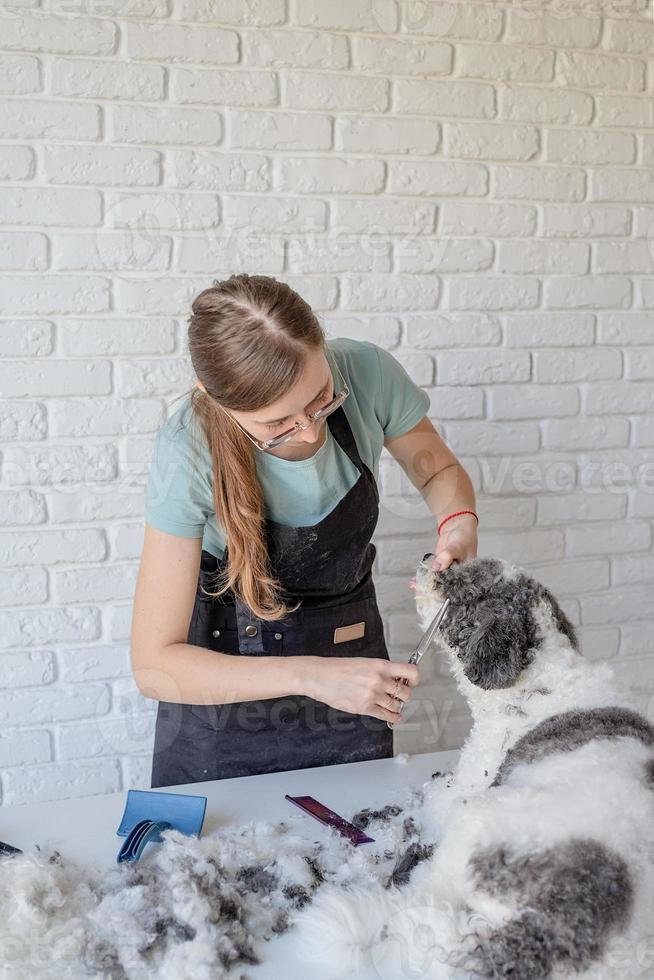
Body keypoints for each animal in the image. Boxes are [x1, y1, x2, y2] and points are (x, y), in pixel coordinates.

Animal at [296, 556, 654, 976]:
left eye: (461, 582)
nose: (427, 558)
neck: (538, 676)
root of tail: (563, 921)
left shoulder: (466, 784)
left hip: (473, 827)